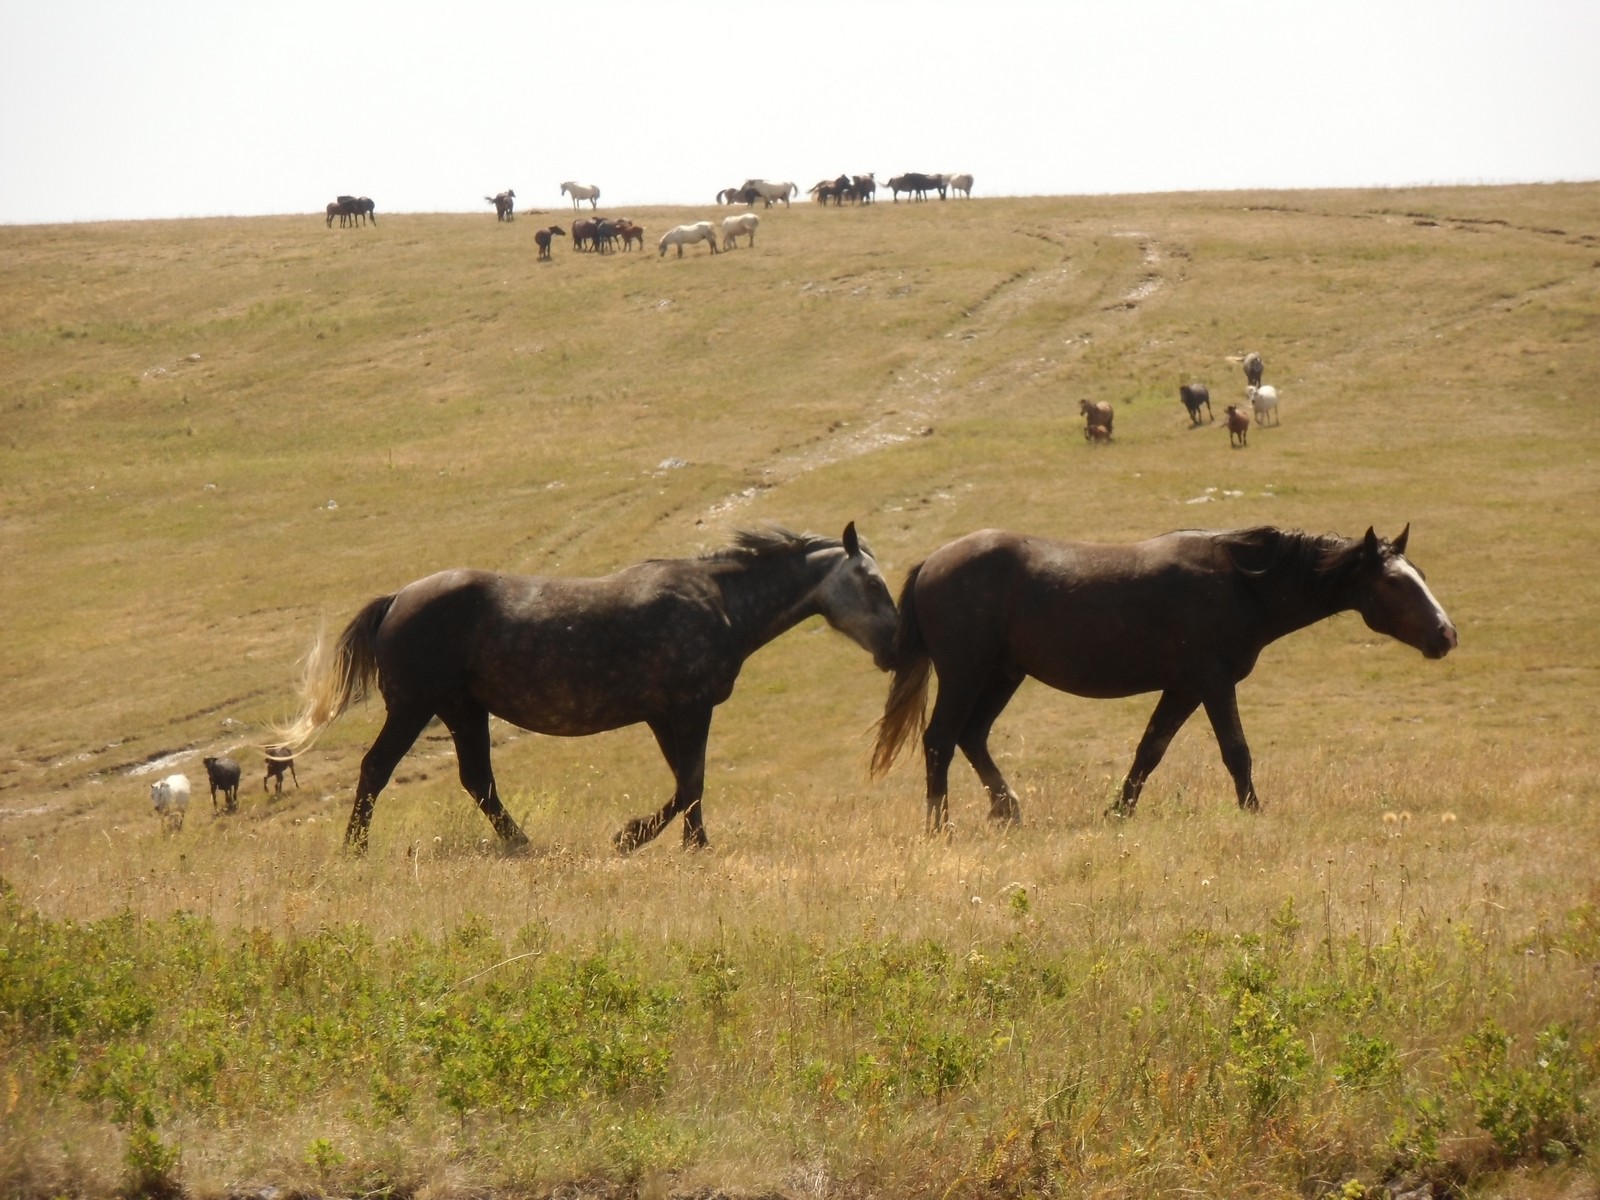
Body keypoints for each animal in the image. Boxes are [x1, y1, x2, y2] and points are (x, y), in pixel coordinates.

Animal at [275, 524, 902, 857]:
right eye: (872, 583)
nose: (898, 645)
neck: (719, 603)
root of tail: (397, 599)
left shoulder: (664, 716)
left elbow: (688, 781)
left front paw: (679, 842)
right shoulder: (687, 708)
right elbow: (691, 781)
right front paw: (644, 839)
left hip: (462, 710)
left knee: (477, 781)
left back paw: (523, 845)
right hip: (415, 707)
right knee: (377, 768)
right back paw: (354, 850)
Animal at [876, 524, 1465, 838]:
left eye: (1420, 576)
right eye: (1395, 582)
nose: (1446, 634)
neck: (1241, 584)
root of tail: (932, 562)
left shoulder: (1182, 690)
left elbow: (1149, 751)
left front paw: (1118, 812)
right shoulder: (1213, 683)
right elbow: (1237, 752)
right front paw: (1254, 811)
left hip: (1003, 675)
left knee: (971, 737)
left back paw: (1007, 810)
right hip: (966, 672)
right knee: (940, 740)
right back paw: (941, 828)